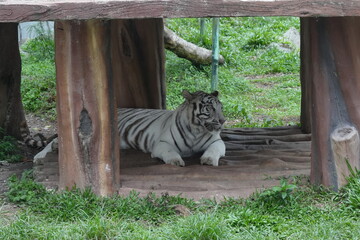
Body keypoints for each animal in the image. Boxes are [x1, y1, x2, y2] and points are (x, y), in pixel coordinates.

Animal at [28, 90, 226, 167]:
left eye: (221, 107)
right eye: (209, 109)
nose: (223, 121)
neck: (197, 130)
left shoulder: (217, 141)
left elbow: (214, 149)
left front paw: (208, 159)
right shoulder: (162, 144)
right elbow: (171, 153)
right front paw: (176, 161)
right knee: (55, 140)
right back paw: (40, 156)